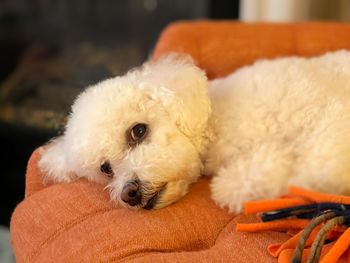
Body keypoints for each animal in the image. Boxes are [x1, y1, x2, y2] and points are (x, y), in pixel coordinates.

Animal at [39, 50, 350, 213]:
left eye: (138, 131)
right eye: (106, 169)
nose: (130, 192)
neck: (217, 126)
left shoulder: (328, 112)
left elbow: (320, 167)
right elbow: (234, 186)